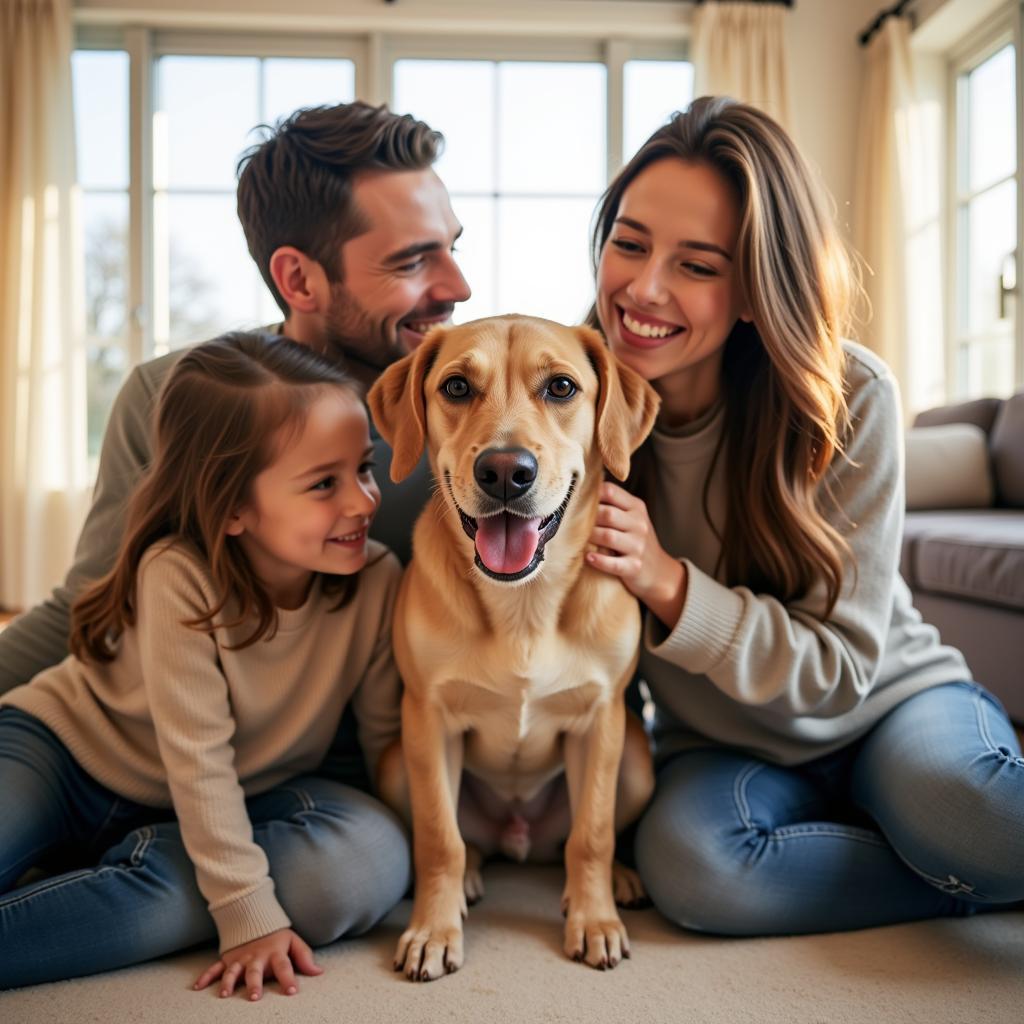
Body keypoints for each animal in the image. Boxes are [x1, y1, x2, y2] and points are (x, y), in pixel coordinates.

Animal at [372, 315, 659, 978]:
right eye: (455, 386)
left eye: (561, 387)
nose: (505, 470)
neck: (524, 605)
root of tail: (518, 835)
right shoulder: (427, 719)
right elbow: (439, 839)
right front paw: (433, 930)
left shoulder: (602, 720)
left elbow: (593, 836)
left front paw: (595, 919)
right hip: (399, 763)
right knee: (468, 842)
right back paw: (473, 876)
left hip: (635, 760)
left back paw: (621, 880)